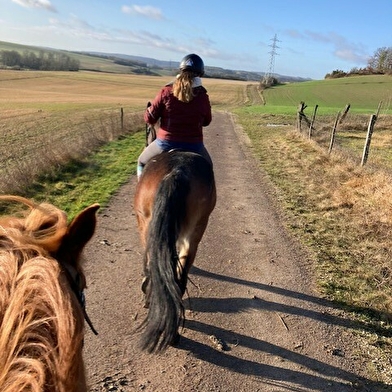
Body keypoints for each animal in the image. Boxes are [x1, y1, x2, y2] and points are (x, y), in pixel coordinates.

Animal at [133, 149, 216, 352]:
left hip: (148, 226)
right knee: (180, 277)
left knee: (154, 268)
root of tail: (177, 171)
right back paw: (173, 333)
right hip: (195, 230)